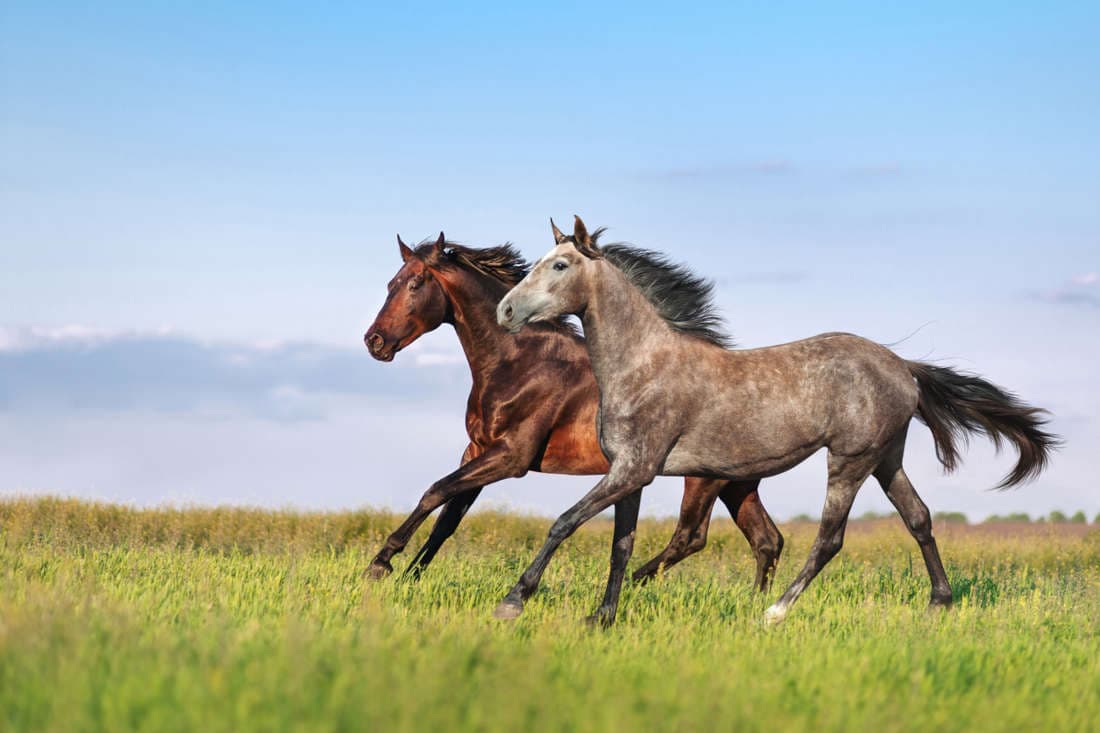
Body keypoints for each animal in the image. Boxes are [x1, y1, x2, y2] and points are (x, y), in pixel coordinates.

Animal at [362, 232, 784, 588]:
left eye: (416, 283)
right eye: (391, 284)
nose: (374, 341)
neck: (521, 362)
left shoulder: (511, 457)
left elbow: (434, 491)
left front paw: (381, 564)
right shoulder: (478, 450)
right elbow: (448, 518)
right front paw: (410, 578)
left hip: (702, 480)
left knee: (691, 536)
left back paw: (631, 586)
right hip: (735, 482)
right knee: (766, 540)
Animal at [495, 216, 1058, 625]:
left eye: (560, 265)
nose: (505, 311)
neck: (642, 364)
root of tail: (903, 367)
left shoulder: (634, 469)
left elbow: (565, 522)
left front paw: (513, 601)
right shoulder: (628, 475)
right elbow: (620, 546)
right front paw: (602, 617)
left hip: (849, 461)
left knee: (829, 539)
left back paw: (775, 611)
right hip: (885, 458)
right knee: (918, 518)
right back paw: (939, 603)